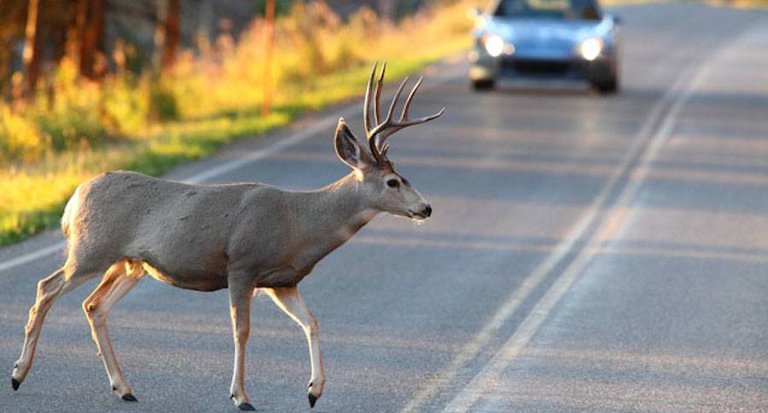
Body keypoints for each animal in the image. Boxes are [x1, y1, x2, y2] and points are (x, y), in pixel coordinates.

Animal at [9, 62, 444, 410]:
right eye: (392, 181)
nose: (425, 208)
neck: (300, 223)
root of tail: (73, 199)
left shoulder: (283, 280)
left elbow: (312, 322)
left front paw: (314, 391)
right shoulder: (243, 265)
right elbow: (242, 331)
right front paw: (241, 396)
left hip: (131, 263)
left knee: (94, 305)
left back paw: (124, 387)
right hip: (91, 248)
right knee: (46, 288)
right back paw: (17, 375)